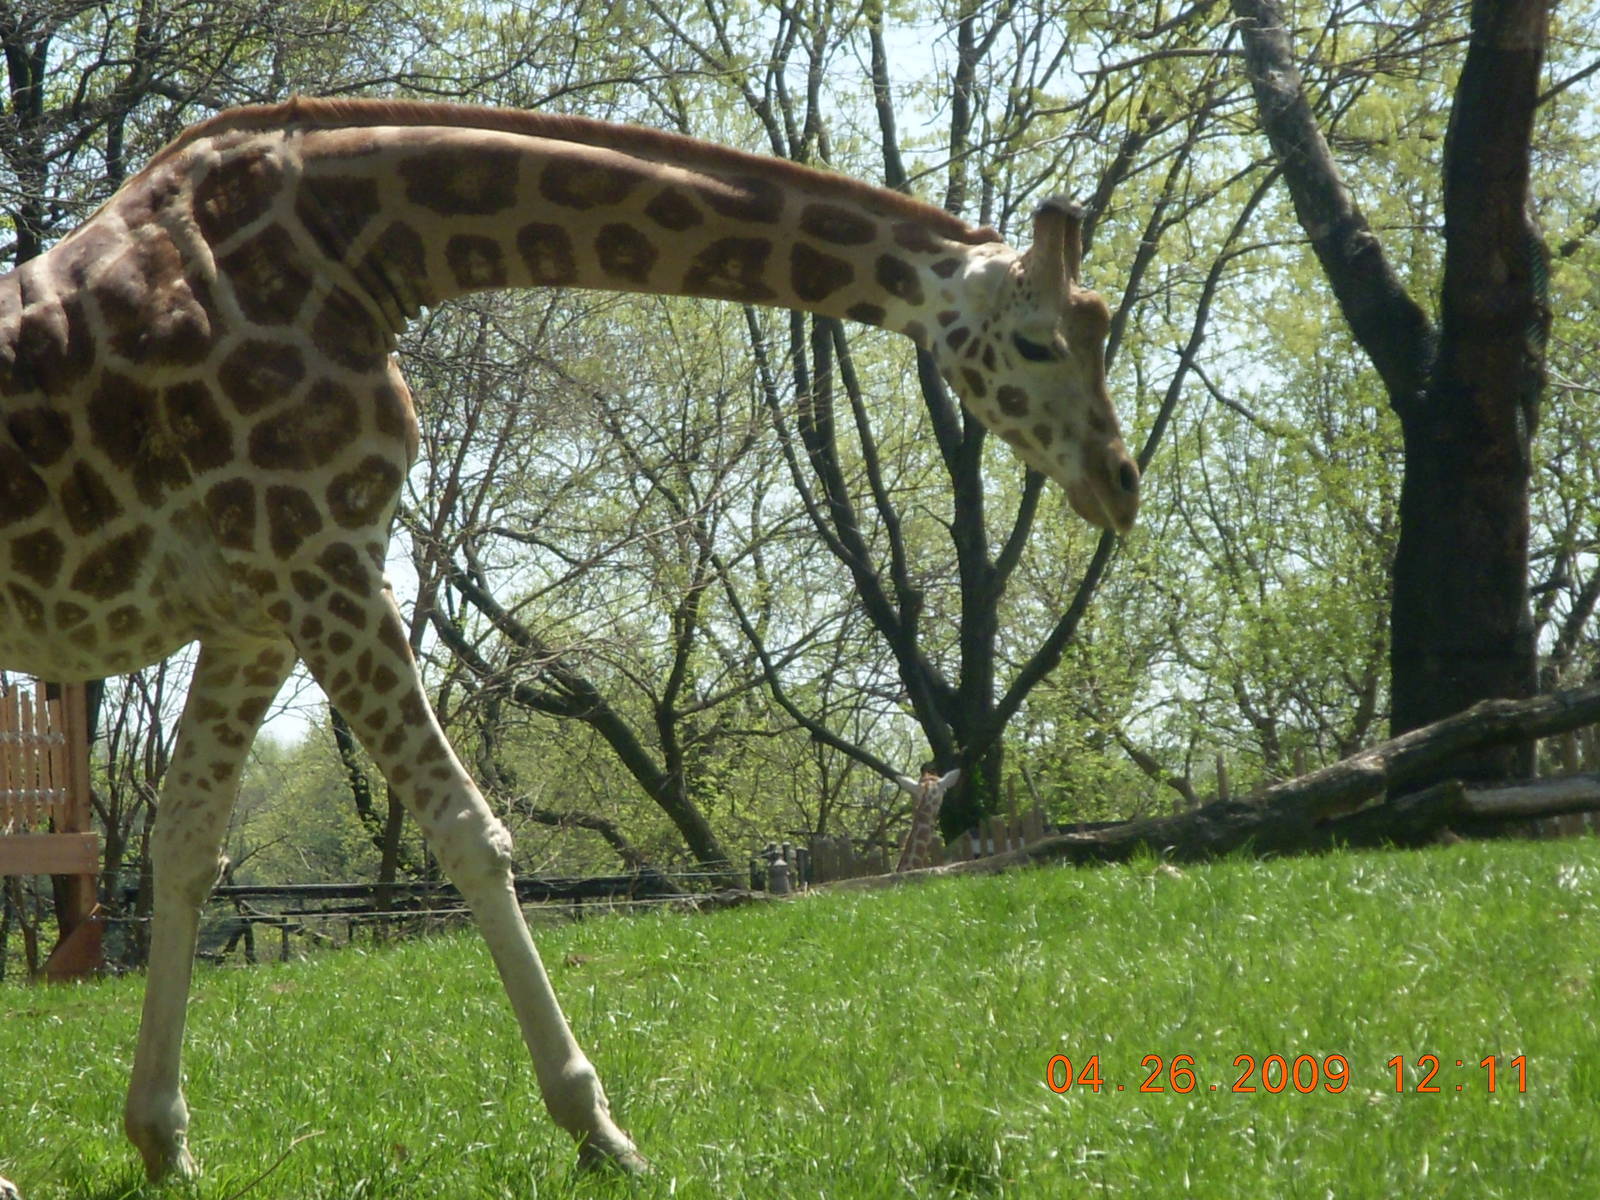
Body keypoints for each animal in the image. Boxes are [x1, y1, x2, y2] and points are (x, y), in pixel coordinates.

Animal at [0, 97, 1139, 1186]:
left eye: (1102, 328)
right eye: (1040, 340)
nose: (1118, 484)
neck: (366, 250)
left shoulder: (259, 606)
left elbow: (188, 846)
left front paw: (161, 1140)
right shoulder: (321, 554)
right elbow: (469, 831)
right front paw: (600, 1130)